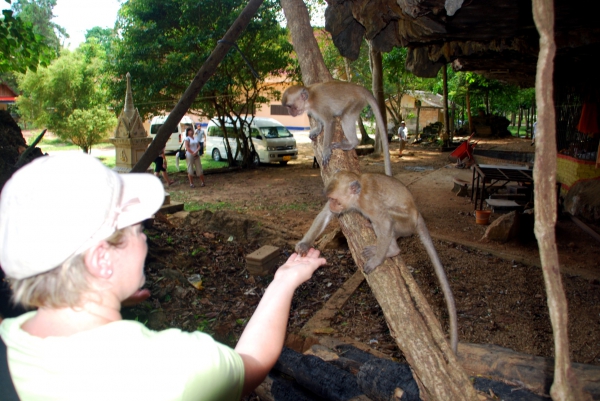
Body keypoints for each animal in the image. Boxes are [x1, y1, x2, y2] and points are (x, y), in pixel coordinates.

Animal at [296, 170, 460, 352]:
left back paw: (391, 250)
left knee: (387, 220)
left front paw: (377, 261)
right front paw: (305, 244)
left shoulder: (369, 203)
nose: (331, 205)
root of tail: (417, 215)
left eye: (335, 200)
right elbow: (325, 215)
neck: (358, 195)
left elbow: (385, 223)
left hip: (405, 223)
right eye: (330, 199)